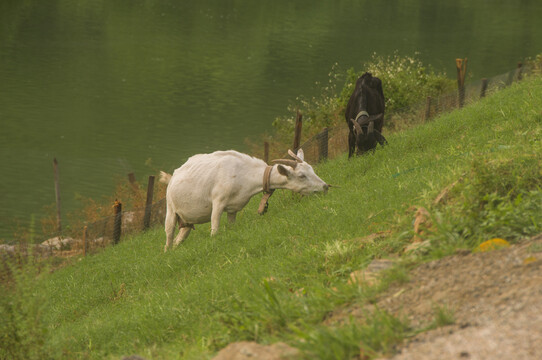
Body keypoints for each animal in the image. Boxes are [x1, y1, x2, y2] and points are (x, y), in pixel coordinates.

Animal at [157, 148, 328, 250]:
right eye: (302, 175)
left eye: (311, 169)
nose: (325, 186)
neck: (243, 173)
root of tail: (172, 177)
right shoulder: (218, 202)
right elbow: (215, 228)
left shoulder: (233, 208)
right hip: (170, 208)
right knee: (169, 234)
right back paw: (167, 252)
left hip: (187, 220)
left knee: (180, 237)